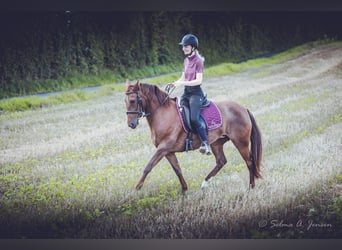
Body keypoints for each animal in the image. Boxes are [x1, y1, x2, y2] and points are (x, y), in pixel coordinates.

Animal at [125, 80, 262, 191]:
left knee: (249, 162)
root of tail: (243, 109)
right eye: (125, 101)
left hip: (240, 142)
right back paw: (205, 183)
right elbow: (177, 170)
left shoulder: (163, 148)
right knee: (221, 161)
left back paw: (251, 187)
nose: (131, 124)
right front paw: (184, 190)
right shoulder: (168, 151)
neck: (163, 114)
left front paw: (137, 188)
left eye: (132, 100)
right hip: (216, 143)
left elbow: (148, 167)